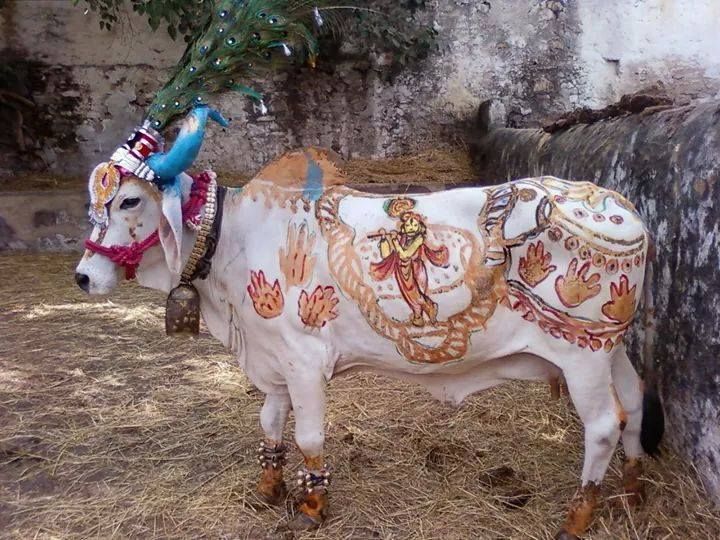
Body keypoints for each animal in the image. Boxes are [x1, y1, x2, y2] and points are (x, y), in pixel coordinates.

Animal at [73, 3, 664, 536]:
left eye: (129, 200)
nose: (83, 276)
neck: (237, 238)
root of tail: (621, 207)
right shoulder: (271, 359)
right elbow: (270, 423)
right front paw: (268, 488)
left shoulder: (305, 360)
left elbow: (310, 438)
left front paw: (312, 506)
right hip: (606, 345)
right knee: (634, 399)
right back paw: (633, 489)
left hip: (580, 357)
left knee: (603, 425)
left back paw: (578, 516)